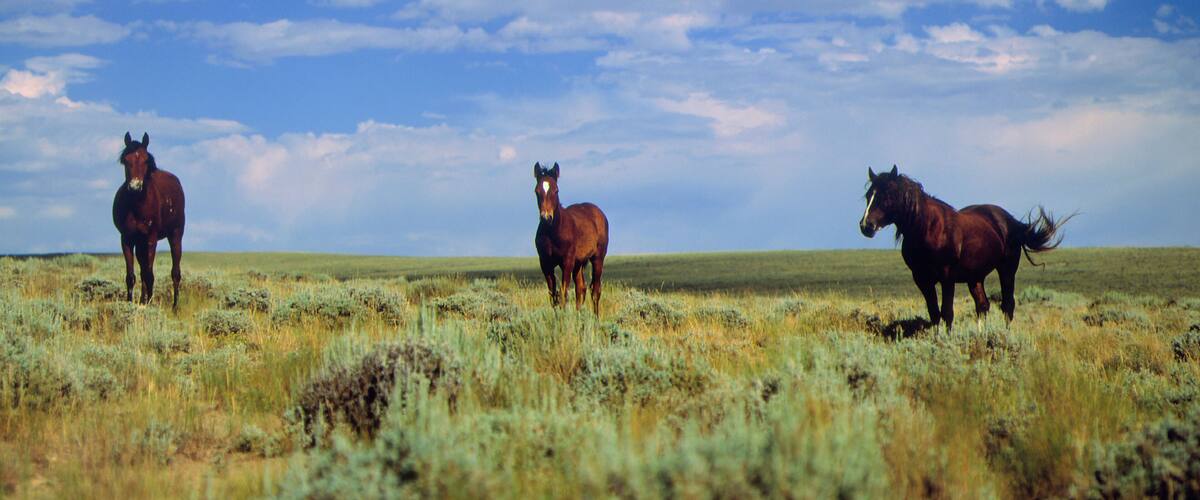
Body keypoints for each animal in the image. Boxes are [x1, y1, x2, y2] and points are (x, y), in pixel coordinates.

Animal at [112, 132, 186, 309]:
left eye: (146, 160)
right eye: (126, 160)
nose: (135, 187)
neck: (137, 205)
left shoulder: (151, 239)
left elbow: (150, 274)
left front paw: (151, 304)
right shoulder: (126, 239)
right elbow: (131, 276)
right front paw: (131, 303)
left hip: (175, 235)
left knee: (175, 272)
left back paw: (174, 306)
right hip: (140, 243)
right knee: (142, 270)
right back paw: (142, 299)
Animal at [534, 162, 609, 315]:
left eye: (556, 191)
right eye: (536, 191)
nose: (546, 218)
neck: (553, 232)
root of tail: (600, 213)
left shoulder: (567, 262)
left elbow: (563, 292)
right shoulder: (545, 264)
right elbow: (553, 295)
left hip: (597, 258)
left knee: (595, 290)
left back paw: (596, 317)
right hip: (578, 263)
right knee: (581, 288)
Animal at [858, 165, 1071, 332]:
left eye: (887, 196)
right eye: (869, 195)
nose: (866, 226)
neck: (928, 228)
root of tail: (1010, 221)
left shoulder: (946, 277)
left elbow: (947, 313)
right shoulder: (922, 279)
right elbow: (934, 313)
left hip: (1007, 270)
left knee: (1007, 305)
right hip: (975, 278)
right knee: (983, 305)